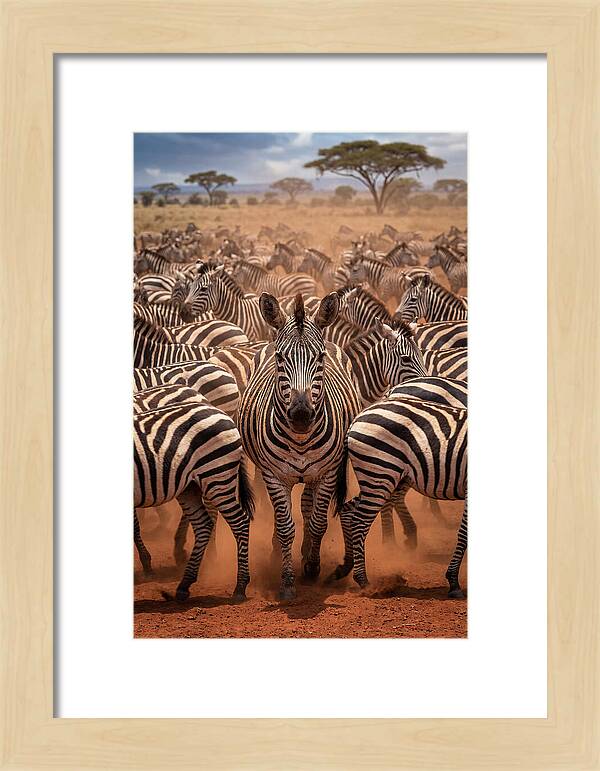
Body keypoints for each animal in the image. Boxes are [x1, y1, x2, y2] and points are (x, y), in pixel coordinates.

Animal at [134, 397, 254, 600]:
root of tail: (223, 414)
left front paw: (147, 564)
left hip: (216, 475)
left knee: (240, 522)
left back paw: (240, 586)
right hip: (189, 487)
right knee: (203, 525)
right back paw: (184, 584)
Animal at [238, 292, 361, 600]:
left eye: (320, 358)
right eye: (281, 358)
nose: (301, 415)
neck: (301, 439)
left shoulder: (328, 473)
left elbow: (318, 521)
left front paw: (312, 567)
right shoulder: (273, 475)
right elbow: (285, 526)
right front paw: (287, 581)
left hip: (316, 474)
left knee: (307, 504)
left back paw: (306, 553)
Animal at [338, 397, 468, 597]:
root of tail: (358, 417)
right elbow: (464, 534)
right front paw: (453, 582)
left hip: (379, 478)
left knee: (347, 510)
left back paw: (345, 566)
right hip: (380, 473)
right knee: (359, 522)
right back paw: (364, 582)